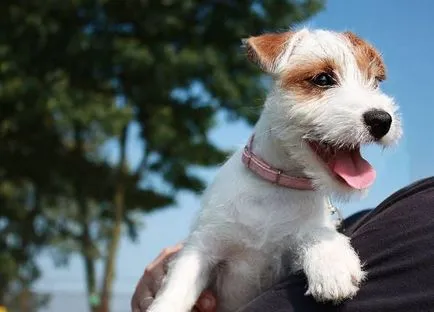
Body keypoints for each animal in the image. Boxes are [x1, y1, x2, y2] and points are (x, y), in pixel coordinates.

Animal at [147, 28, 402, 312]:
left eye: (375, 82)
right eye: (323, 79)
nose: (382, 120)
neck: (279, 184)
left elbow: (317, 231)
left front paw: (331, 262)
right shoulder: (202, 247)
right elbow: (176, 289)